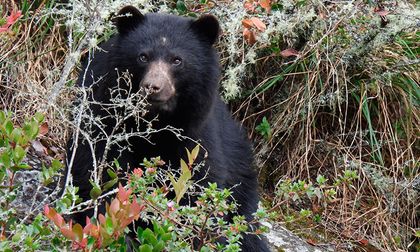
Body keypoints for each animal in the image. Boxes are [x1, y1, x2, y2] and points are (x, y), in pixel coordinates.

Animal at [66, 4, 270, 251]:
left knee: (248, 229)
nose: (152, 87)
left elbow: (198, 185)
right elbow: (95, 167)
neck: (157, 122)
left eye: (177, 60)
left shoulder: (195, 133)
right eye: (143, 56)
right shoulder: (100, 109)